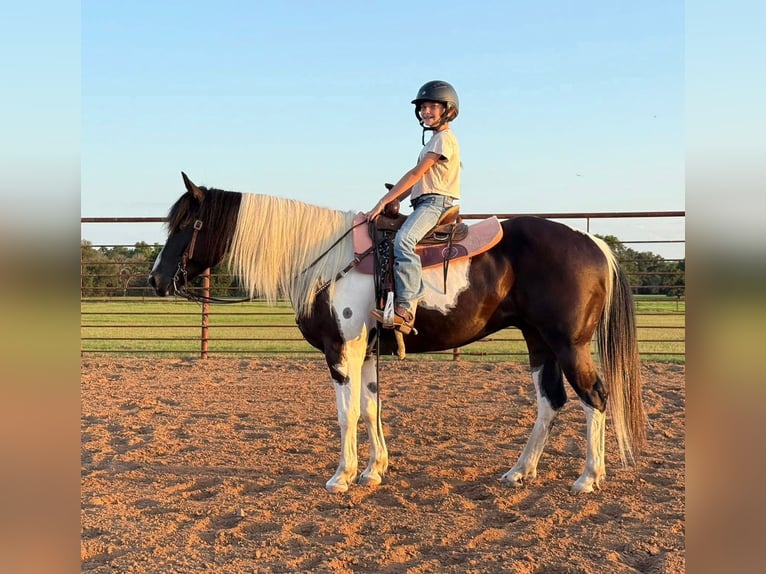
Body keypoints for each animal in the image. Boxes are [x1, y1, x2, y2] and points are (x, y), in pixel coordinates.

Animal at [149, 172, 645, 495]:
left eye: (184, 225)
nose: (156, 280)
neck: (325, 258)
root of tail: (594, 244)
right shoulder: (366, 350)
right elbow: (371, 409)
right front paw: (373, 471)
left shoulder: (341, 350)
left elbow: (347, 413)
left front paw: (341, 477)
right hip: (539, 341)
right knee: (551, 402)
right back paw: (519, 472)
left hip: (569, 344)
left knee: (594, 398)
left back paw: (588, 478)